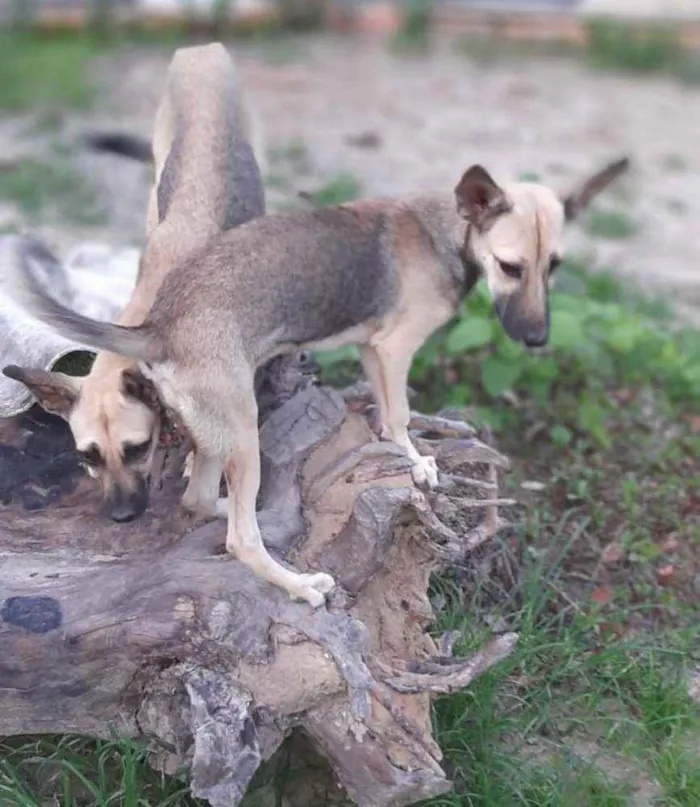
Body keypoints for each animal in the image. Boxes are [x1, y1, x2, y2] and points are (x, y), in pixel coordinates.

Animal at [4, 156, 628, 608]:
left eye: (554, 268)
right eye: (511, 267)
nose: (537, 339)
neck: (443, 230)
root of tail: (161, 328)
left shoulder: (371, 349)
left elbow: (385, 411)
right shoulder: (394, 349)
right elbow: (399, 416)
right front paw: (416, 461)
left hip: (223, 431)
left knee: (201, 499)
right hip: (244, 425)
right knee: (239, 539)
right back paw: (298, 585)